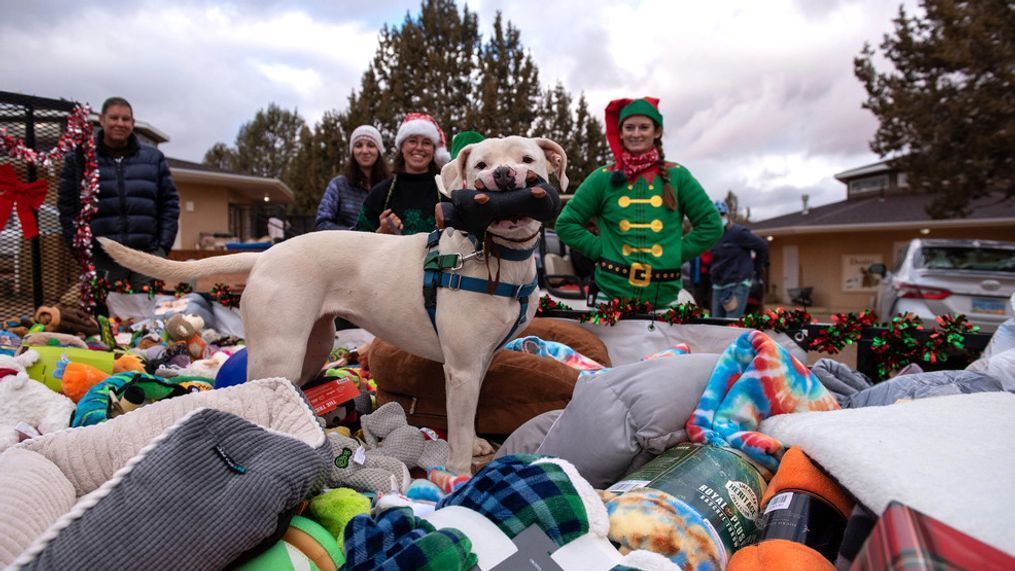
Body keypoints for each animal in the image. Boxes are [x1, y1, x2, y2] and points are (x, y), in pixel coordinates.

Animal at [102, 135, 568, 476]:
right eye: (480, 166)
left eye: (527, 158)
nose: (504, 175)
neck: (496, 255)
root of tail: (266, 254)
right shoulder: (462, 368)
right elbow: (458, 422)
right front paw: (458, 472)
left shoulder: (479, 362)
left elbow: (470, 417)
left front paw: (475, 445)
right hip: (280, 351)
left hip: (313, 346)